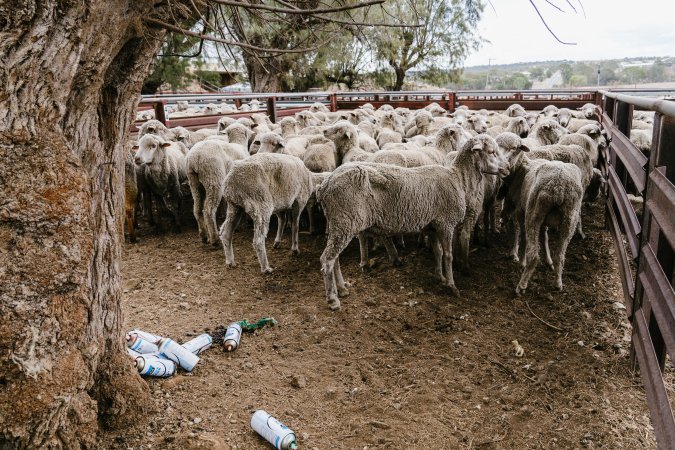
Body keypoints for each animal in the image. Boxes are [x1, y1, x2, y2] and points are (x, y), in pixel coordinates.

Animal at [316, 134, 508, 310]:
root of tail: (325, 185)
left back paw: (342, 289)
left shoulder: (433, 226)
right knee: (327, 259)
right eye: (491, 151)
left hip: (339, 223)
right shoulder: (446, 224)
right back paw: (333, 299)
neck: (459, 179)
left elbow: (438, 252)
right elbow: (448, 255)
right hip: (345, 221)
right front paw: (452, 285)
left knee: (335, 258)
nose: (507, 168)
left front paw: (440, 277)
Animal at [494, 132, 584, 292]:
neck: (521, 170)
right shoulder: (544, 220)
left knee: (534, 255)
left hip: (534, 213)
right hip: (569, 218)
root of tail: (559, 186)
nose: (502, 166)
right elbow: (544, 237)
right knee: (560, 255)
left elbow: (521, 234)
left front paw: (520, 259)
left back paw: (522, 284)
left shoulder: (521, 210)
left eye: (514, 148)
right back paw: (558, 282)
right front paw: (548, 261)